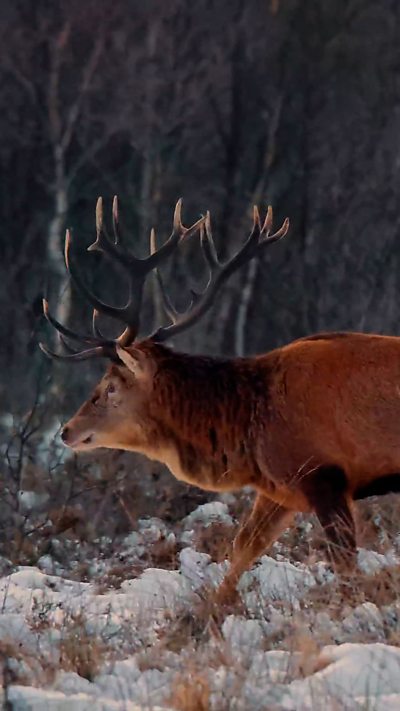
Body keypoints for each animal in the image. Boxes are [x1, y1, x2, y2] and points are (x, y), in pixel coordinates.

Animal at [40, 197, 400, 600]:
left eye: (111, 385)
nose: (67, 430)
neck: (247, 426)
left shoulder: (323, 473)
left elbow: (345, 565)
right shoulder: (279, 486)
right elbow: (245, 545)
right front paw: (213, 607)